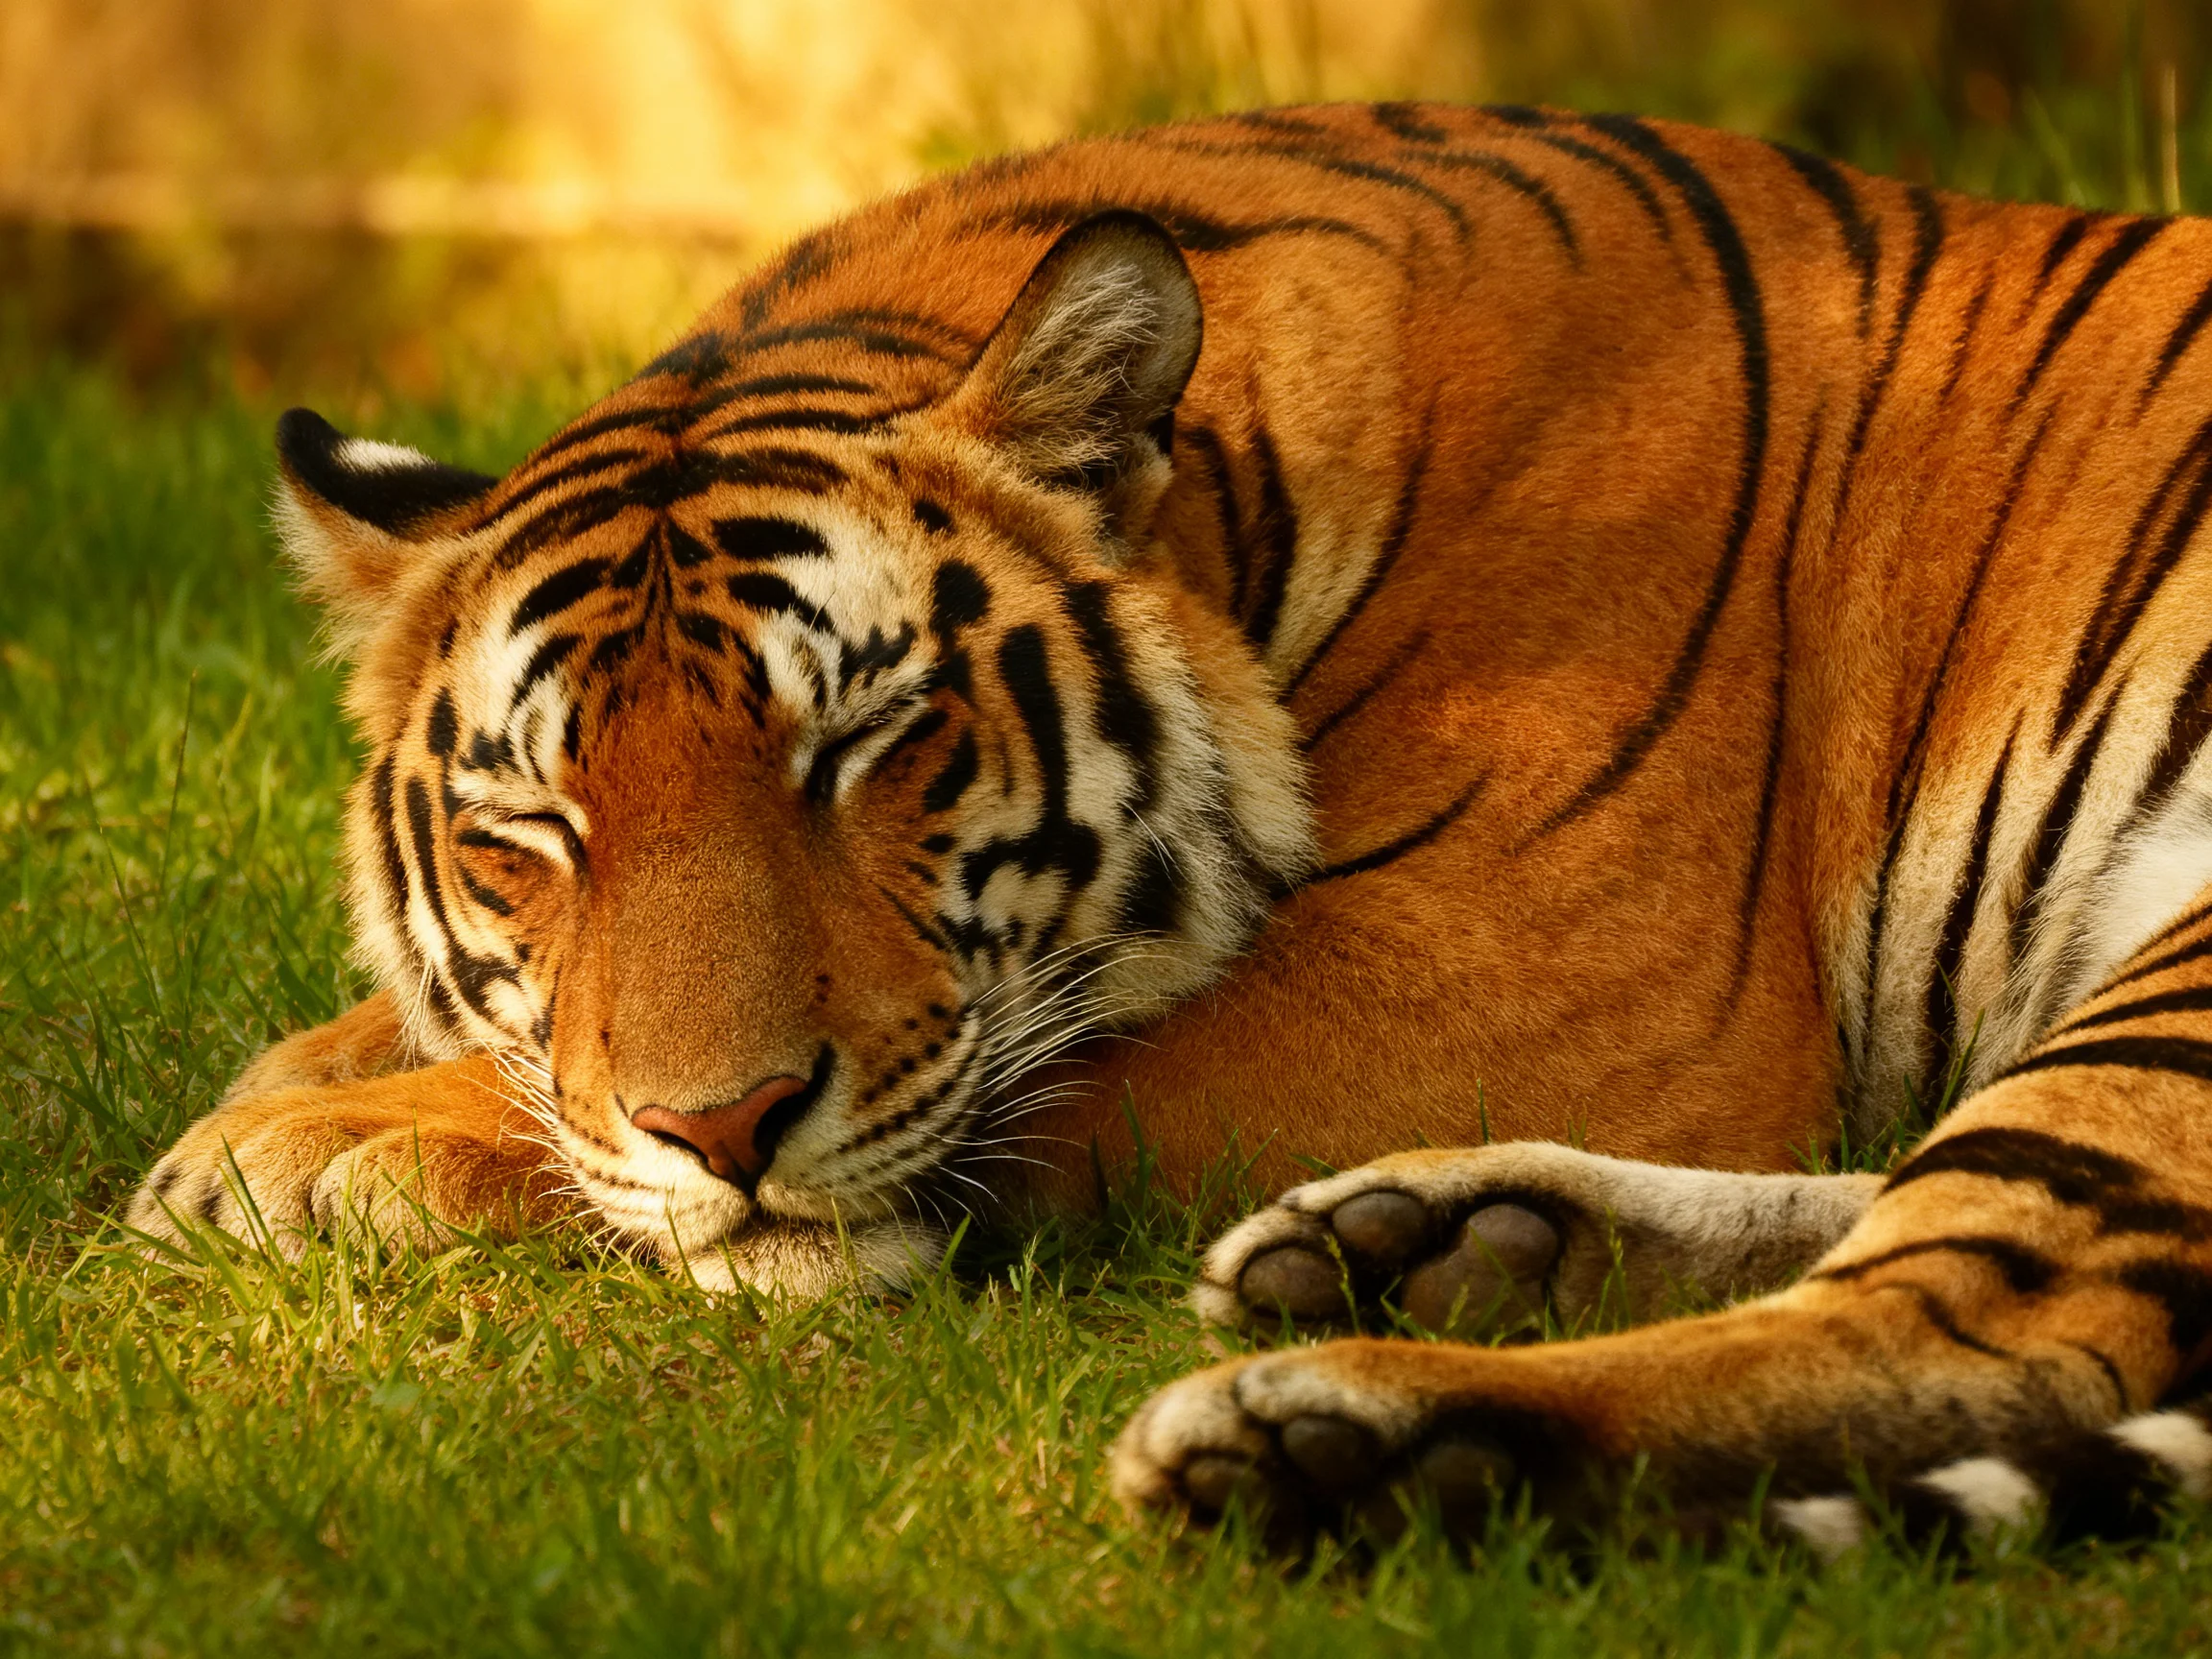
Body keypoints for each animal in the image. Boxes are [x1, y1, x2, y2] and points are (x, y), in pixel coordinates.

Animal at [126, 101, 2212, 1552]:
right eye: (538, 827)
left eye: (864, 744)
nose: (725, 1130)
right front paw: (298, 1083)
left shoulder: (1534, 979)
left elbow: (1062, 1077)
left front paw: (314, 1149)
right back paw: (1447, 1239)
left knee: (1998, 1317)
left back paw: (1366, 1440)